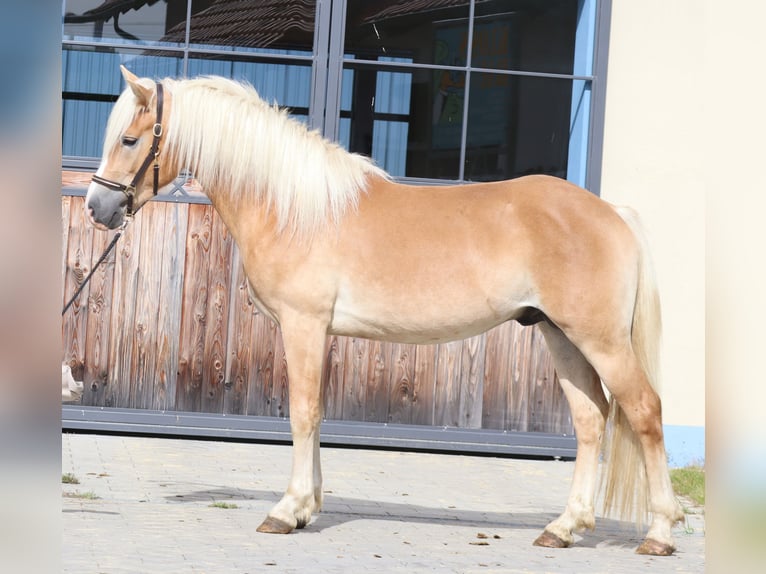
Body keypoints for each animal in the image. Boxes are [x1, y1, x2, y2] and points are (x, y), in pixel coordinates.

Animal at [85, 66, 684, 556]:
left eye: (130, 139)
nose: (97, 208)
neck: (294, 208)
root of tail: (612, 212)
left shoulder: (304, 325)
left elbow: (302, 413)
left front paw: (286, 511)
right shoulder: (319, 332)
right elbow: (318, 413)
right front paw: (308, 509)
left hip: (600, 339)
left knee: (644, 411)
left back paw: (659, 533)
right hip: (560, 335)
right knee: (591, 421)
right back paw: (563, 528)